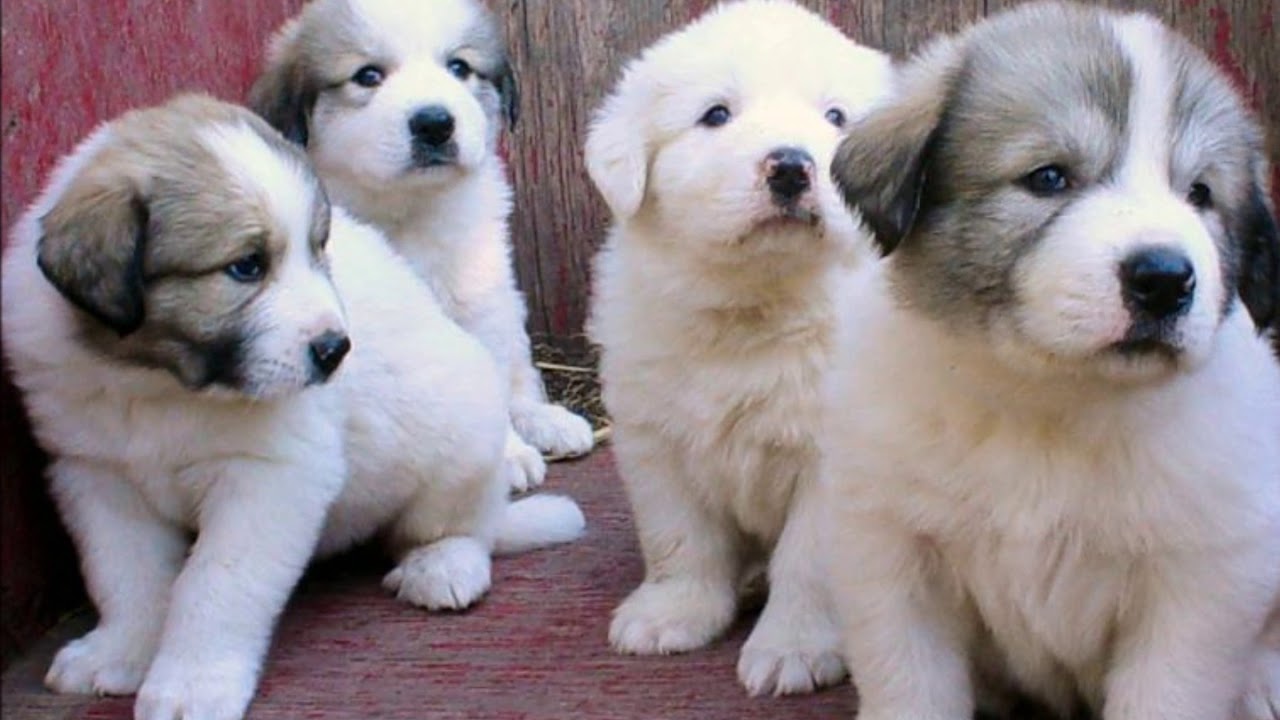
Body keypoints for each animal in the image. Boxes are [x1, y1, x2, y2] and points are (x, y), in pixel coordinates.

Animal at [1, 95, 586, 717]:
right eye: (247, 265)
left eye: (317, 248)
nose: (336, 350)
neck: (157, 381)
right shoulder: (97, 476)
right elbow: (125, 575)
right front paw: (121, 651)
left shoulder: (268, 479)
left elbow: (215, 585)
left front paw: (193, 682)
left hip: (463, 429)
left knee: (464, 523)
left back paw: (443, 564)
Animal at [249, 0, 593, 489]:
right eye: (368, 75)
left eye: (459, 67)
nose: (434, 123)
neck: (407, 212)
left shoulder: (477, 303)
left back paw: (547, 420)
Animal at [583, 0, 890, 696]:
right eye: (716, 115)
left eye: (836, 117)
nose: (792, 166)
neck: (754, 310)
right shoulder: (654, 439)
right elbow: (679, 538)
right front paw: (671, 615)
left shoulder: (830, 465)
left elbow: (808, 565)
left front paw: (792, 649)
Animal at [819, 5, 1280, 717]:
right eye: (1049, 178)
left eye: (1200, 193)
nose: (1164, 279)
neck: (1047, 406)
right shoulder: (892, 553)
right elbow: (909, 683)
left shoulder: (1197, 585)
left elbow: (1165, 691)